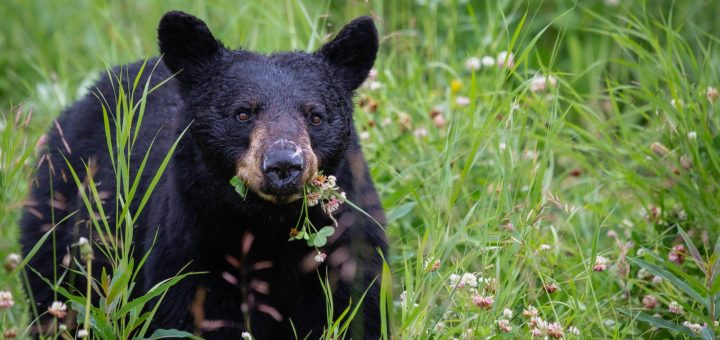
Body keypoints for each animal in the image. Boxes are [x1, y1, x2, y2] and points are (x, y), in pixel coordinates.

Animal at [21, 10, 388, 340]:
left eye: (315, 116)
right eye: (243, 113)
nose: (284, 164)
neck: (269, 228)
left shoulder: (348, 249)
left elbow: (358, 314)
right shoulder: (191, 250)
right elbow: (191, 316)